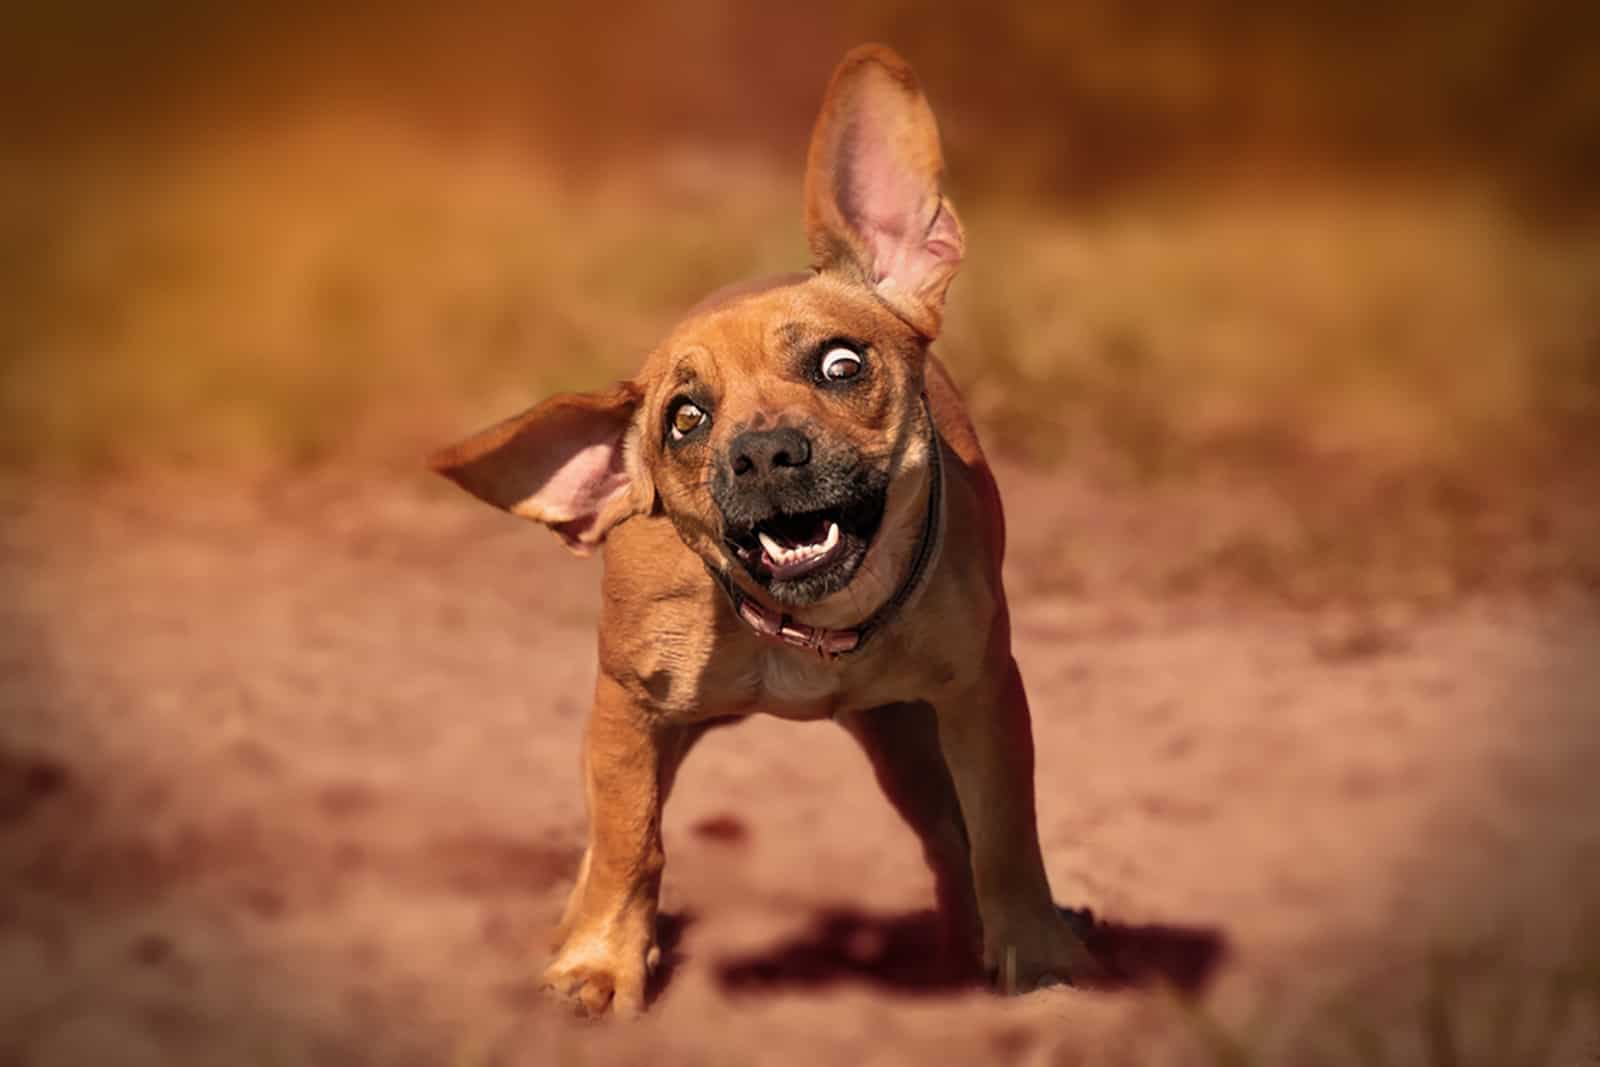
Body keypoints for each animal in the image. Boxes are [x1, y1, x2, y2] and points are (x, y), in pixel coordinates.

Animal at [432, 43, 1094, 1017]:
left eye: (841, 365)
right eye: (685, 419)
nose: (764, 452)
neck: (806, 629)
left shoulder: (982, 695)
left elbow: (1005, 829)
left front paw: (1037, 952)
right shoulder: (628, 712)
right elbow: (630, 842)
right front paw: (601, 959)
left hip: (910, 739)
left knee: (948, 831)